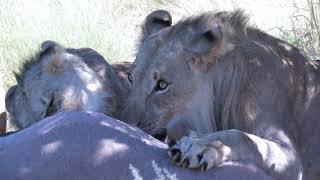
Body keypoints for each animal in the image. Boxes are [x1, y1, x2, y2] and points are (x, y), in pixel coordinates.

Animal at [121, 10, 320, 180]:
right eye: (130, 77)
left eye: (162, 85)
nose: (125, 124)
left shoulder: (291, 157)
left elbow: (243, 137)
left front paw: (199, 146)